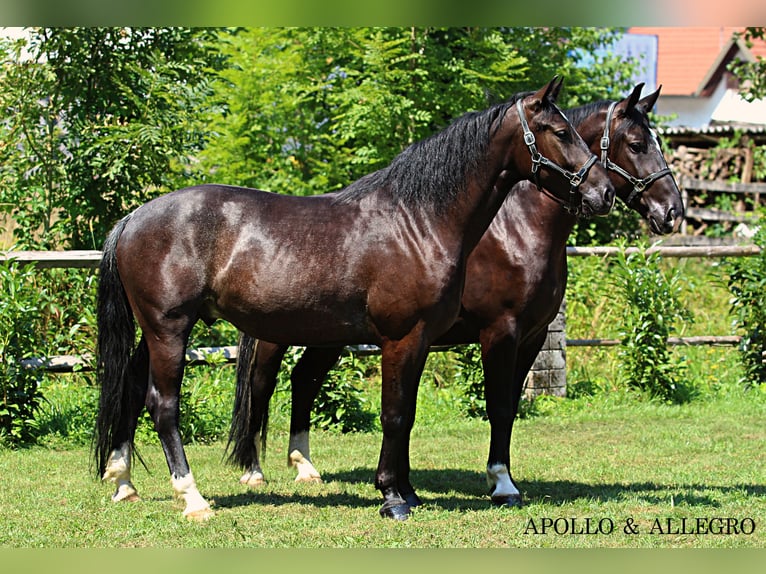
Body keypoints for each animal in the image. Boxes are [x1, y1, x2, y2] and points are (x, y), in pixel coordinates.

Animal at [93, 79, 616, 524]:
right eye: (559, 131)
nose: (604, 192)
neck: (419, 221)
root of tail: (134, 217)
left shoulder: (423, 341)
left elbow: (406, 414)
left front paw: (407, 491)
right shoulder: (406, 337)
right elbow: (396, 414)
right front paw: (392, 497)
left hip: (158, 332)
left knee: (132, 389)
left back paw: (123, 483)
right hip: (171, 328)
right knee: (163, 404)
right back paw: (193, 498)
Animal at [231, 80, 688, 508]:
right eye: (637, 144)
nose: (672, 213)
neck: (517, 229)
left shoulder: (531, 337)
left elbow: (505, 407)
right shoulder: (500, 332)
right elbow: (497, 406)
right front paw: (501, 484)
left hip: (330, 335)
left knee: (304, 379)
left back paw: (305, 466)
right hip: (278, 335)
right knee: (262, 385)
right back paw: (254, 471)